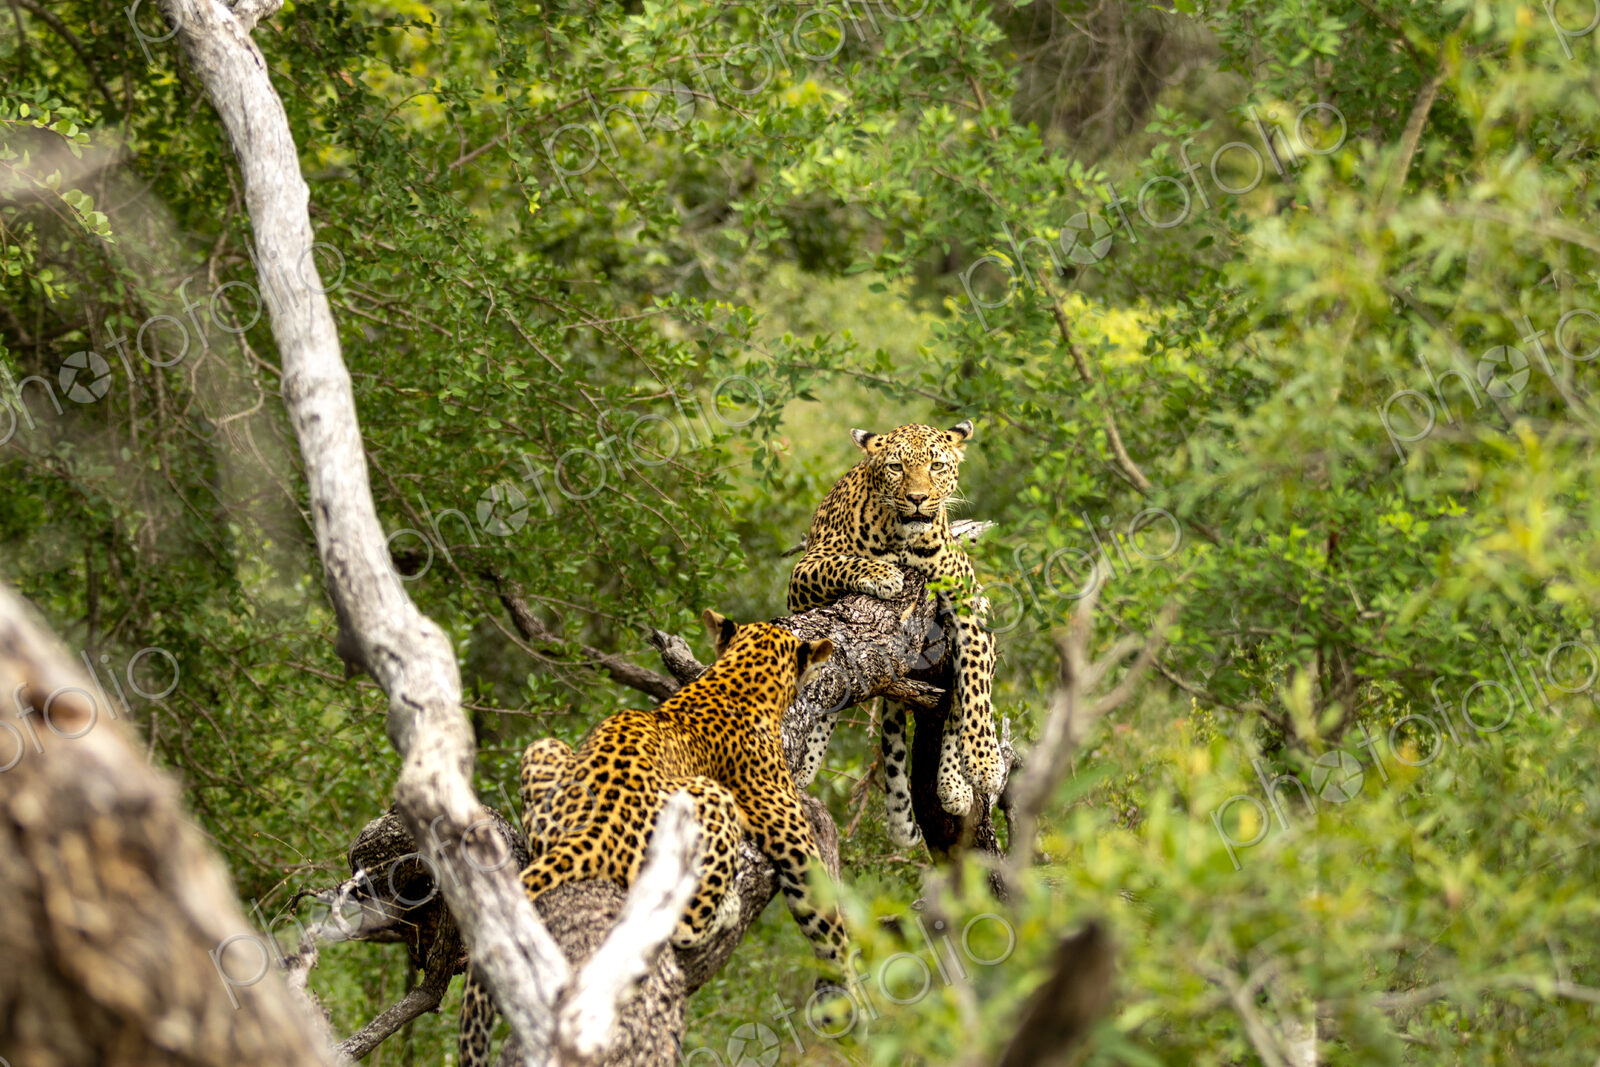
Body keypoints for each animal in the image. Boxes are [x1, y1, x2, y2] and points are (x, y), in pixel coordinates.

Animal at [458, 610, 849, 1066]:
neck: (740, 675)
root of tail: (595, 829)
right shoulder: (787, 826)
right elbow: (828, 921)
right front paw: (851, 998)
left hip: (543, 748)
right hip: (708, 800)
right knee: (681, 924)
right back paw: (727, 908)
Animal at [787, 419, 1003, 847]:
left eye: (937, 465)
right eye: (895, 467)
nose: (918, 498)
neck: (902, 537)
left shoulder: (968, 601)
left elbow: (975, 686)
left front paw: (985, 763)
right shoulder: (806, 570)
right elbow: (843, 562)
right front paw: (883, 573)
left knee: (954, 701)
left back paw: (953, 784)